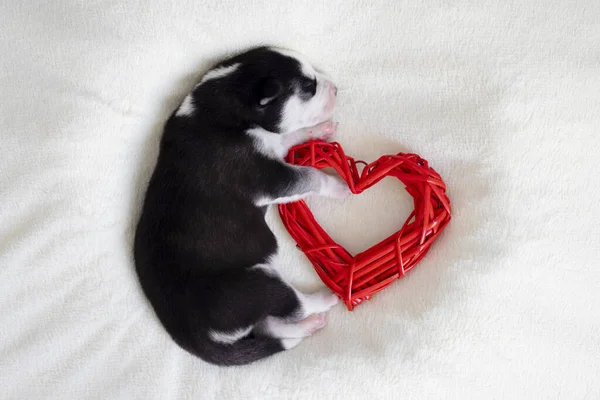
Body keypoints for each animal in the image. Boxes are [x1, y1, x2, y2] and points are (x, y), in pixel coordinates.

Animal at [134, 46, 350, 366]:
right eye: (308, 87)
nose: (336, 88)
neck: (227, 100)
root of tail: (192, 337)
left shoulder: (273, 145)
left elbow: (288, 136)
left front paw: (319, 130)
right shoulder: (271, 179)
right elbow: (312, 176)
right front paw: (340, 187)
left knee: (270, 326)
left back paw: (308, 328)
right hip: (256, 286)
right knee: (294, 305)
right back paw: (327, 298)